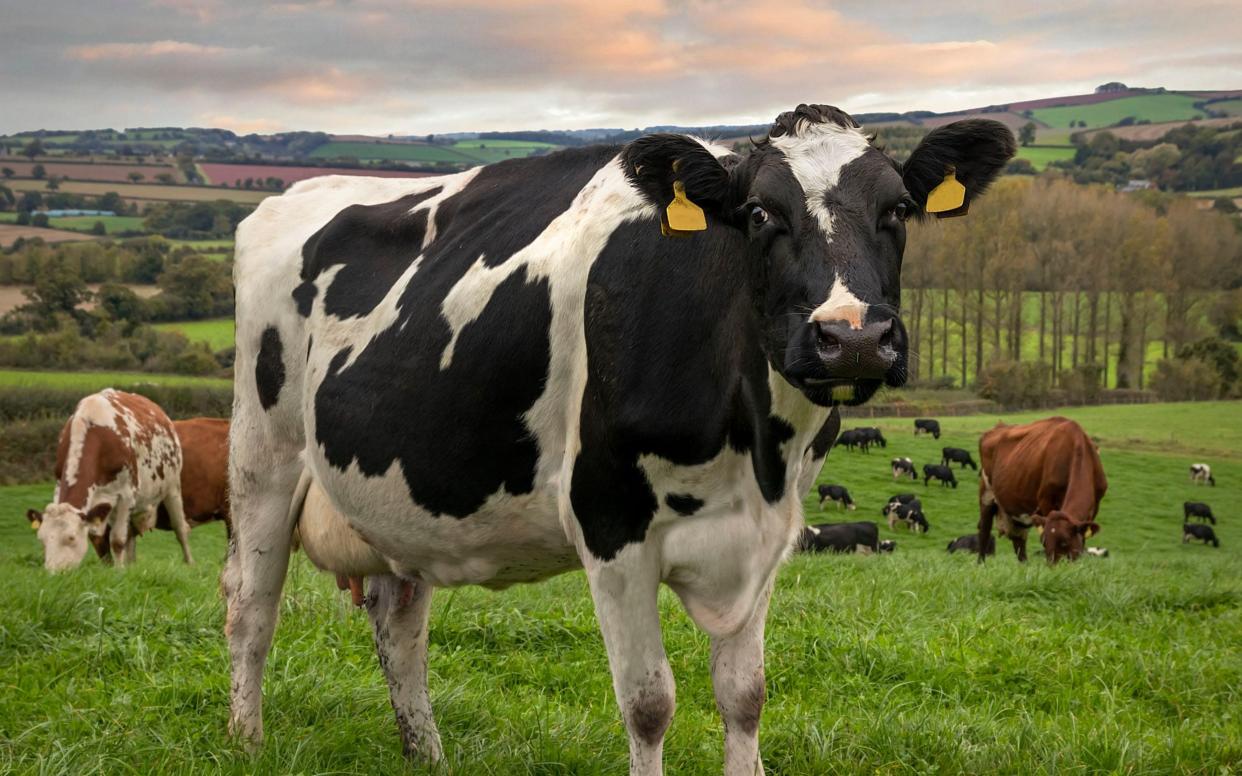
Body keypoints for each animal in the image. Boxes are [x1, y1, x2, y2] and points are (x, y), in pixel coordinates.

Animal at [26, 387, 193, 568]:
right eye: (42, 540)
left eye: (71, 537)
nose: (54, 571)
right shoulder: (61, 488)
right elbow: (98, 539)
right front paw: (110, 568)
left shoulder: (126, 495)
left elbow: (117, 541)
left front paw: (118, 571)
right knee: (130, 535)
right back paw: (130, 565)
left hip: (172, 488)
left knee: (180, 528)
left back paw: (190, 563)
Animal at [223, 104, 1013, 774]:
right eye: (761, 213)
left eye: (899, 209)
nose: (851, 338)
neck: (753, 446)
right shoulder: (611, 525)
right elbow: (649, 703)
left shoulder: (769, 534)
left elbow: (745, 697)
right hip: (262, 454)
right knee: (251, 603)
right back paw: (247, 739)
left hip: (400, 500)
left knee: (400, 623)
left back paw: (427, 754)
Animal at [978, 417, 1107, 563]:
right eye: (1044, 542)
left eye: (1065, 542)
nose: (1053, 565)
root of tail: (999, 427)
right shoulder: (1046, 501)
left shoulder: (1095, 506)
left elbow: (1083, 538)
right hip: (986, 494)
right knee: (984, 531)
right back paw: (981, 564)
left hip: (1017, 509)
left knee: (1019, 540)